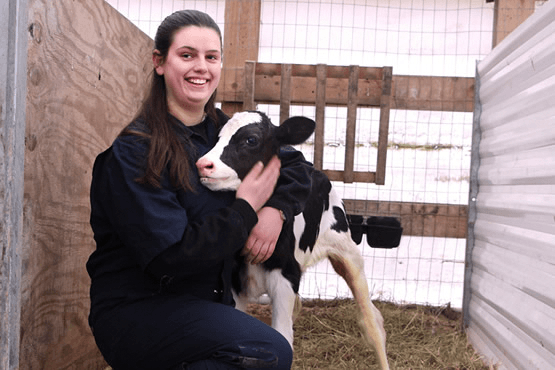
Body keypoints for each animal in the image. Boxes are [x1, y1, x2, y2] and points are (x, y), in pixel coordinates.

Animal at [198, 111, 388, 368]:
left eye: (251, 139)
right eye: (218, 137)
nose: (203, 164)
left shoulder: (285, 276)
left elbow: (283, 338)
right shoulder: (236, 282)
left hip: (348, 253)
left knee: (372, 321)